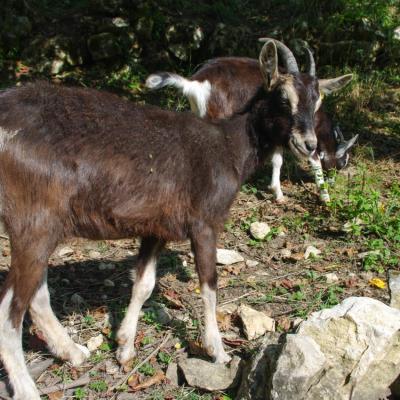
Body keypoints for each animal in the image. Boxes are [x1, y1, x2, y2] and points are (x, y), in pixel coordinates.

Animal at [0, 39, 320, 398]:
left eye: (317, 98)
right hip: (34, 222)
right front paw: (218, 351)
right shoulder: (205, 223)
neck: (227, 147)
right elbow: (209, 283)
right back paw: (27, 387)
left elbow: (143, 283)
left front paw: (124, 345)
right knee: (10, 311)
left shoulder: (157, 227)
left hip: (41, 228)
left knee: (37, 295)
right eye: (283, 96)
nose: (309, 144)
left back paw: (73, 352)